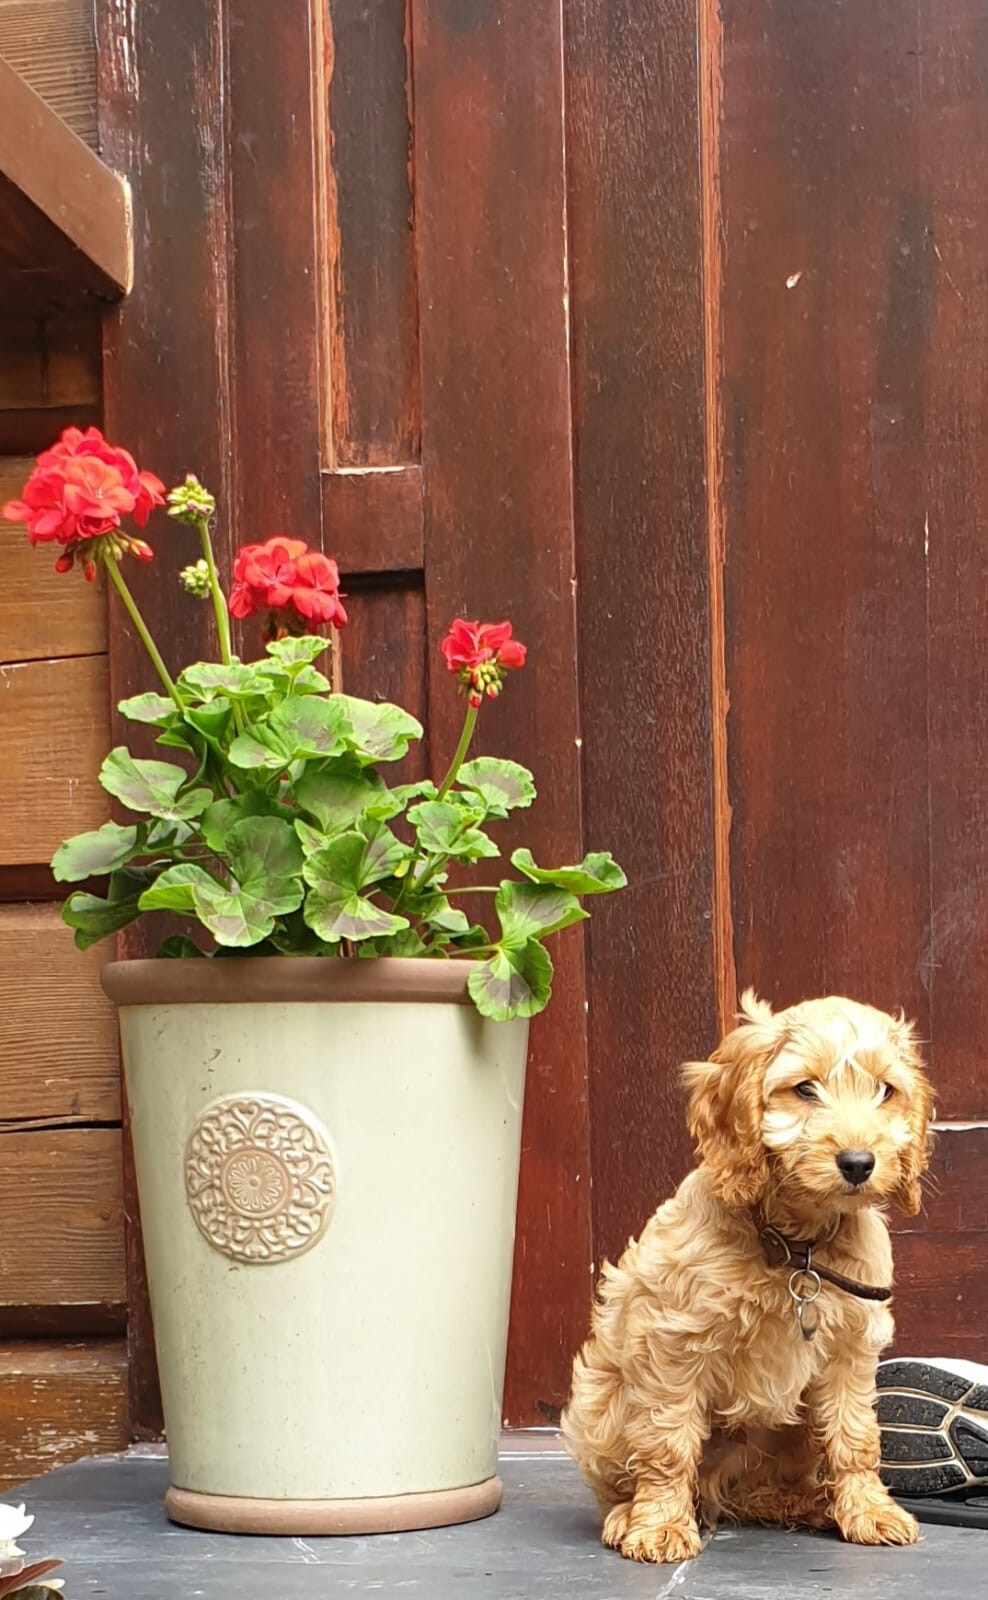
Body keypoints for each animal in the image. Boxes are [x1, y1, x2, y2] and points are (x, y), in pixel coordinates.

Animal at [562, 985, 933, 1561]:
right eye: (804, 1089)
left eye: (885, 1090)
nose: (857, 1162)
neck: (796, 1248)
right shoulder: (674, 1344)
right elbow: (668, 1441)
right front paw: (659, 1526)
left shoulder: (851, 1349)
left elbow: (855, 1437)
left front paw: (869, 1511)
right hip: (600, 1404)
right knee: (626, 1478)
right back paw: (629, 1515)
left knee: (764, 1489)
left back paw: (811, 1504)